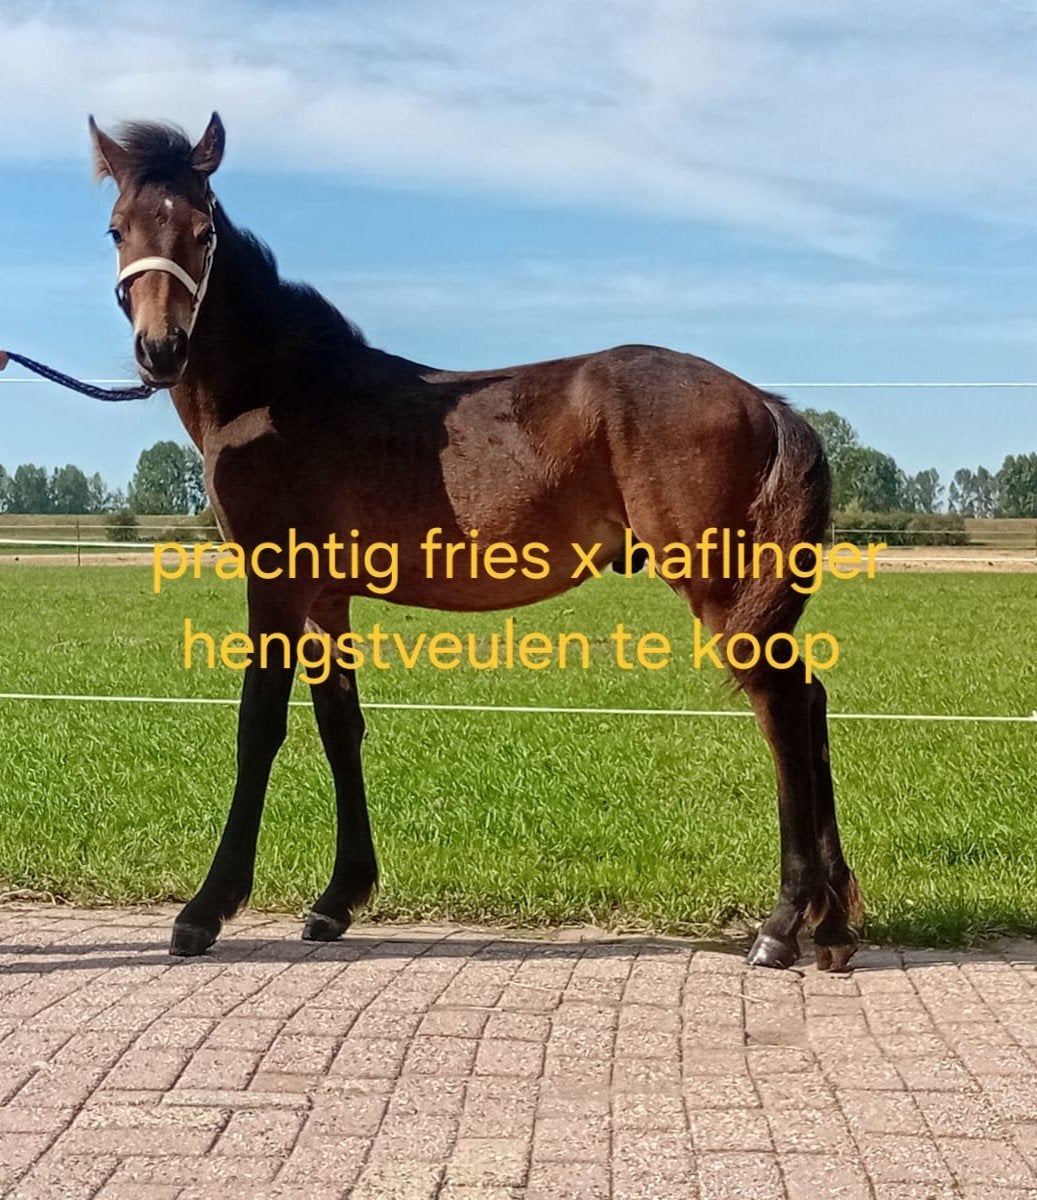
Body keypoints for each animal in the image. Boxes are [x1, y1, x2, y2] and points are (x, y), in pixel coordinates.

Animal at [86, 112, 861, 971]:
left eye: (203, 230)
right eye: (118, 228)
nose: (161, 349)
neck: (283, 393)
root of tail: (763, 402)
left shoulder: (276, 582)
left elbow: (259, 725)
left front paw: (205, 909)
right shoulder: (325, 598)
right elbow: (339, 725)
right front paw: (337, 899)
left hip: (721, 588)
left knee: (782, 708)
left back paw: (783, 924)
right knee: (808, 700)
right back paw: (831, 925)